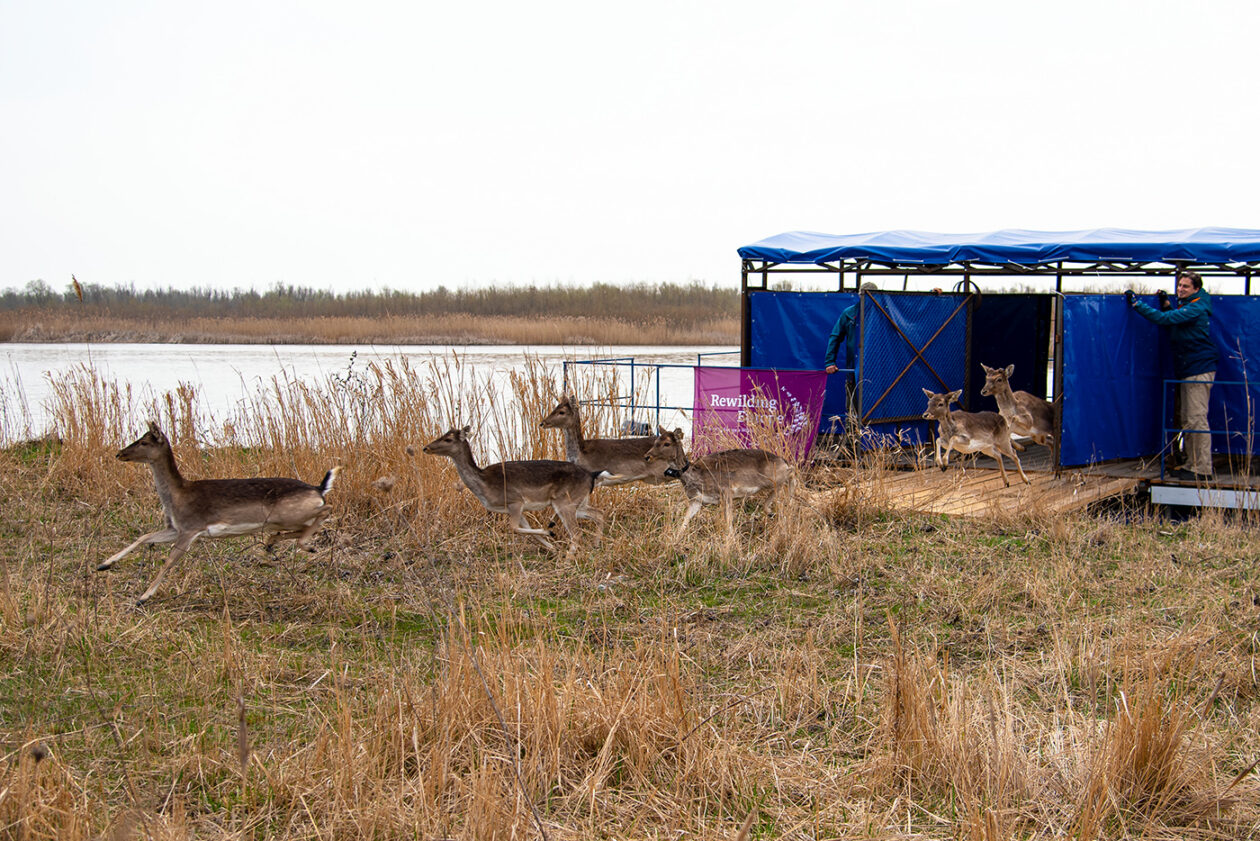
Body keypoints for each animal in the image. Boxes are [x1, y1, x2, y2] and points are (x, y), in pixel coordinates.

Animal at [100, 423, 340, 607]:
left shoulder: (190, 527)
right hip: (284, 519)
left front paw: (142, 597)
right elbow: (144, 537)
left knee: (326, 509)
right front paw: (104, 564)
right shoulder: (176, 527)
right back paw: (275, 543)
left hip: (290, 513)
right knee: (300, 527)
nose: (119, 453)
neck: (176, 497)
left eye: (144, 442)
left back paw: (304, 544)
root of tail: (319, 488)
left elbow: (168, 561)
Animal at [420, 428, 607, 559]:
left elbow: (514, 528)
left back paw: (569, 558)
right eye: (443, 433)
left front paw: (550, 533)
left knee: (576, 533)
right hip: (578, 502)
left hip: (564, 502)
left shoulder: (515, 501)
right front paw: (553, 547)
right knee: (598, 513)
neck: (484, 486)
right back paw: (595, 545)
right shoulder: (517, 509)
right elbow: (527, 530)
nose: (425, 448)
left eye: (448, 439)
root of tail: (591, 475)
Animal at [645, 428, 791, 539]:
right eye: (656, 441)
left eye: (667, 443)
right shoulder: (696, 500)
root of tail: (783, 460)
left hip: (773, 478)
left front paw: (731, 540)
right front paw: (676, 537)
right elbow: (685, 519)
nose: (647, 456)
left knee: (790, 475)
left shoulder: (727, 491)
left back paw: (773, 509)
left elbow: (728, 520)